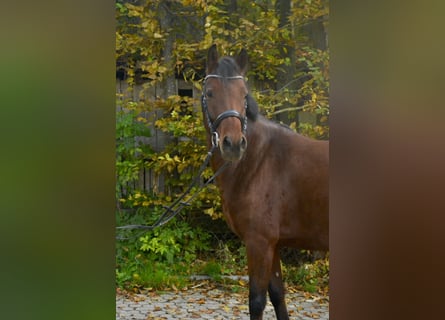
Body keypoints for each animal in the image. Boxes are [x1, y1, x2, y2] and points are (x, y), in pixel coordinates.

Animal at [199, 45, 328, 320]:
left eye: (244, 94)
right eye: (210, 92)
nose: (233, 144)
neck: (260, 161)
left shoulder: (259, 243)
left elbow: (257, 301)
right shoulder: (273, 245)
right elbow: (278, 295)